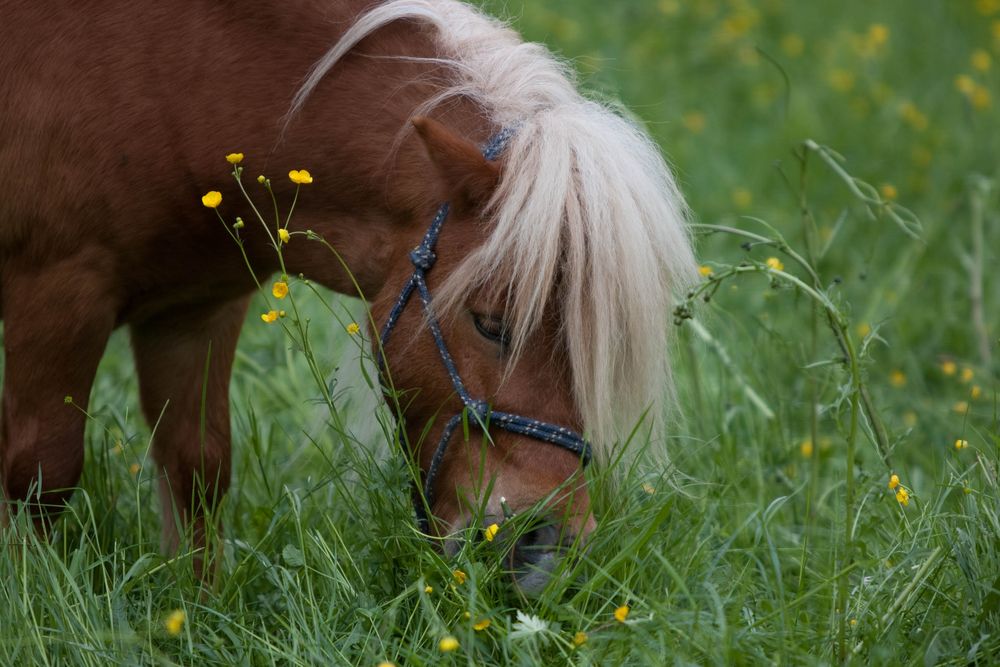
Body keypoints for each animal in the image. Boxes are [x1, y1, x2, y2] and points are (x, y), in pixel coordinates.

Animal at [1, 0, 696, 592]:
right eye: (491, 324)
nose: (547, 552)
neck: (177, 73)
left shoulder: (195, 311)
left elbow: (197, 466)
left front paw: (195, 608)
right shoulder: (59, 290)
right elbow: (42, 470)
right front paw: (32, 603)